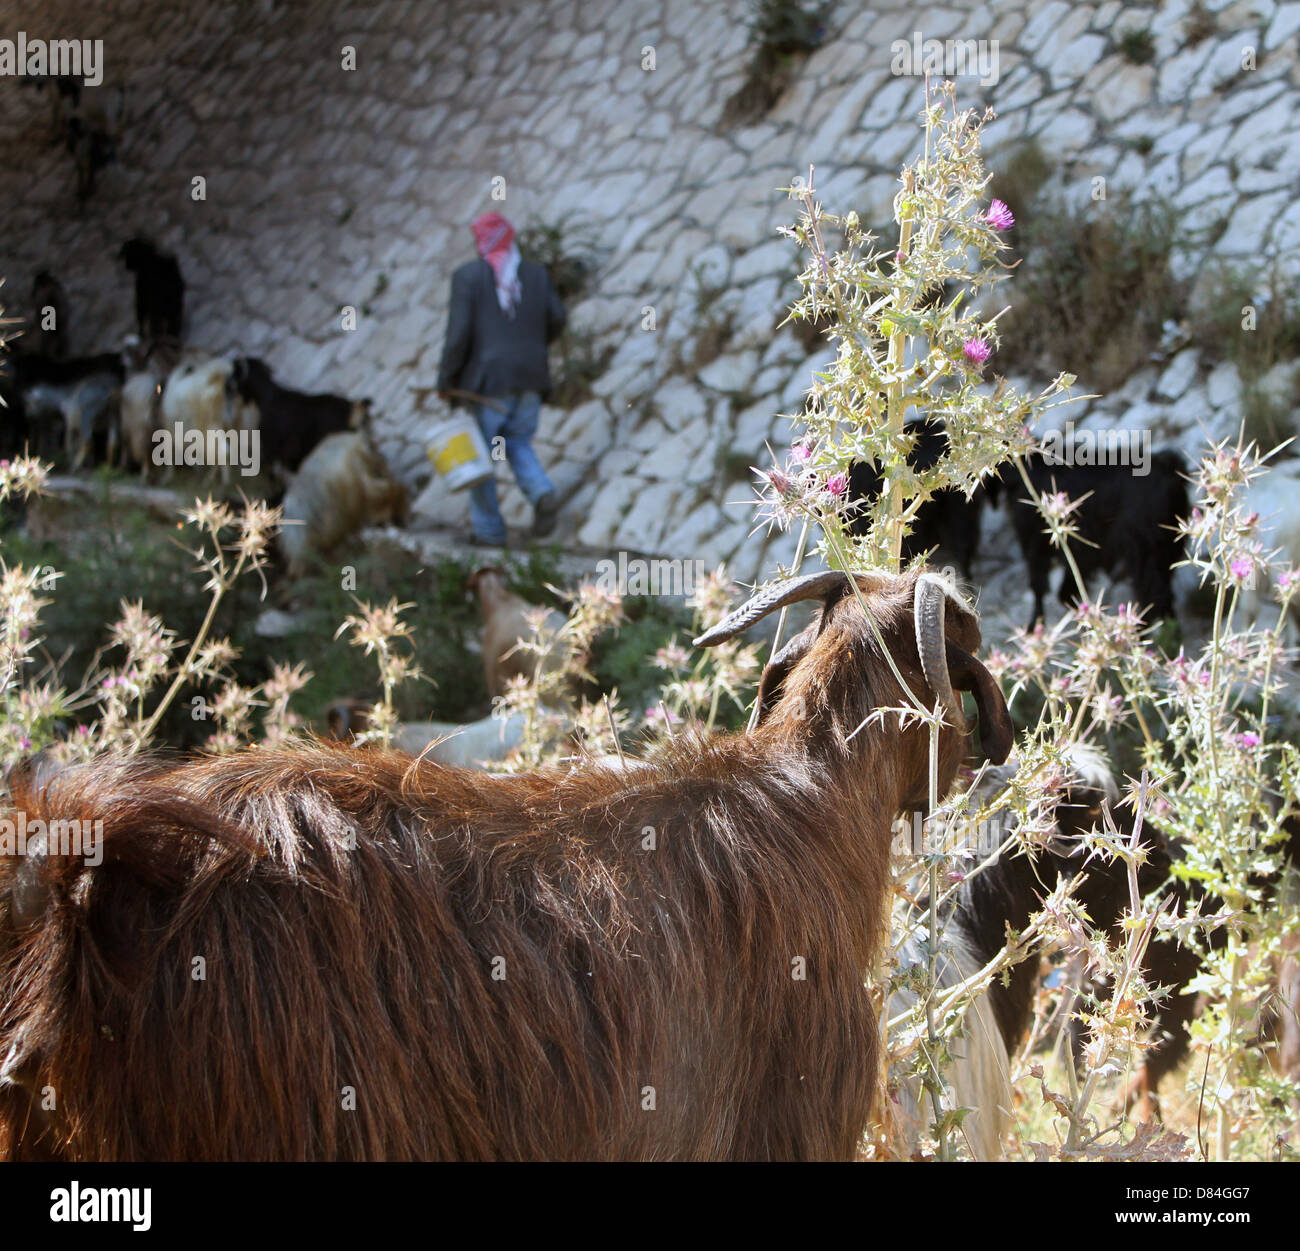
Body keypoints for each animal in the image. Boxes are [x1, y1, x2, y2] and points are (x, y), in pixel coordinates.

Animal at [1001, 449, 1189, 628]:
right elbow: (1066, 591)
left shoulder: (1038, 542)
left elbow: (1042, 587)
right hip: (1164, 546)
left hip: (1143, 547)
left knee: (1154, 594)